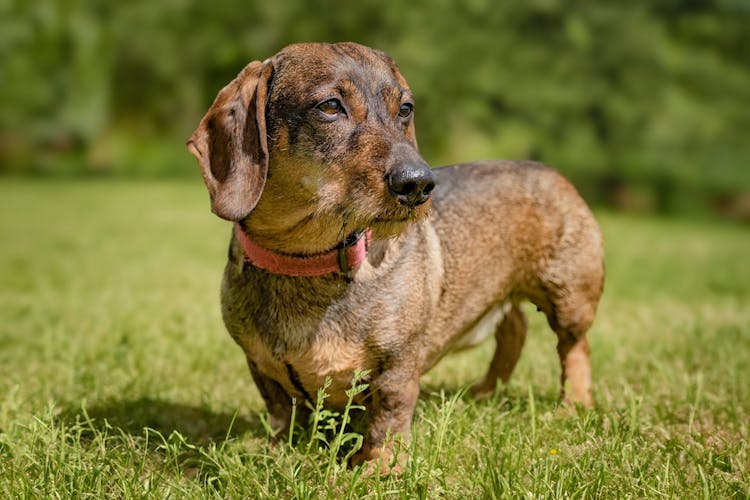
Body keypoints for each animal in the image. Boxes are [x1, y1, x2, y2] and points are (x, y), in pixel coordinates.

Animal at [188, 41, 604, 470]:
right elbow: (281, 410)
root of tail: (551, 170)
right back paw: (486, 392)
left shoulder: (397, 362)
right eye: (330, 106)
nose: (418, 183)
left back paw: (573, 404)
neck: (308, 261)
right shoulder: (260, 365)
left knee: (573, 347)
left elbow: (389, 413)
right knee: (515, 329)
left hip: (568, 297)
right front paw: (278, 453)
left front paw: (378, 467)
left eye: (405, 109)